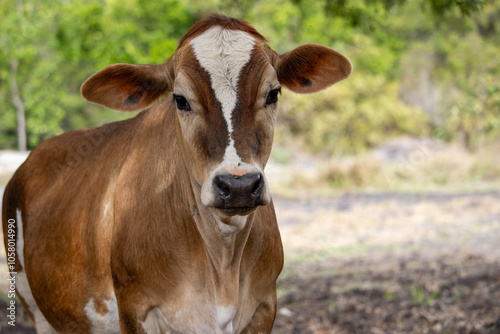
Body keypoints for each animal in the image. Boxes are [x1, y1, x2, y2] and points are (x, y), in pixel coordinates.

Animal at [1, 13, 352, 334]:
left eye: (273, 93)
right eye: (180, 100)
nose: (238, 185)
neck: (222, 261)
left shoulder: (265, 305)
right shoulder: (135, 309)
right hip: (35, 305)